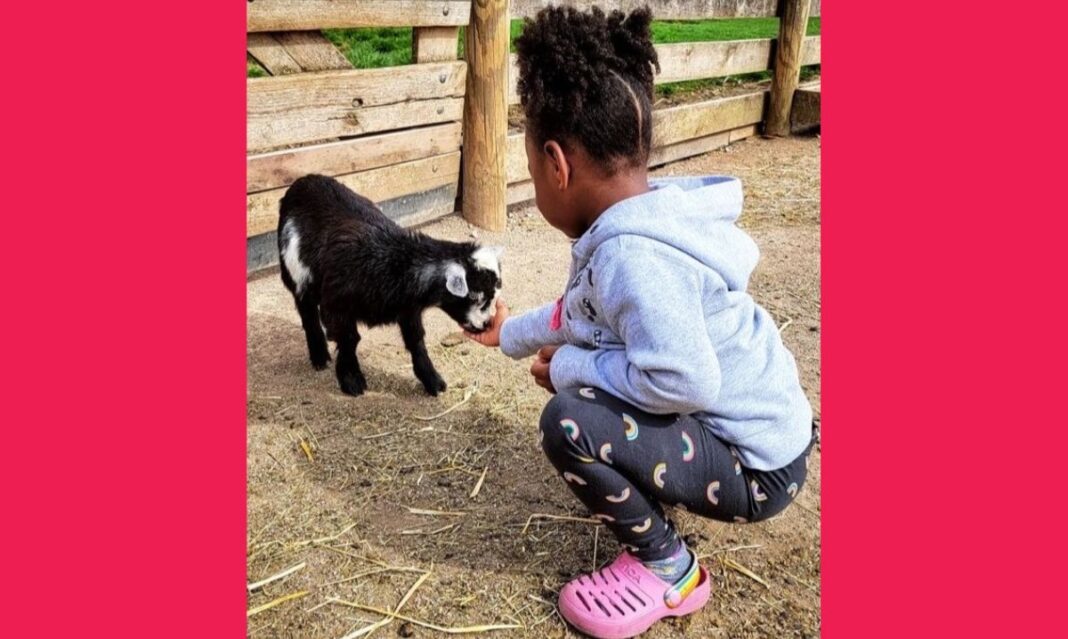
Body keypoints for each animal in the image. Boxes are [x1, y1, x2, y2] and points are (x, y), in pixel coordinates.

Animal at [277, 174, 503, 397]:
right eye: (475, 297)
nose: (486, 325)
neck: (395, 262)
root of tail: (303, 181)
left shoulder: (408, 309)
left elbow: (416, 340)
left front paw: (432, 380)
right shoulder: (336, 304)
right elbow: (350, 338)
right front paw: (351, 379)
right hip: (297, 271)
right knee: (307, 312)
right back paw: (319, 355)